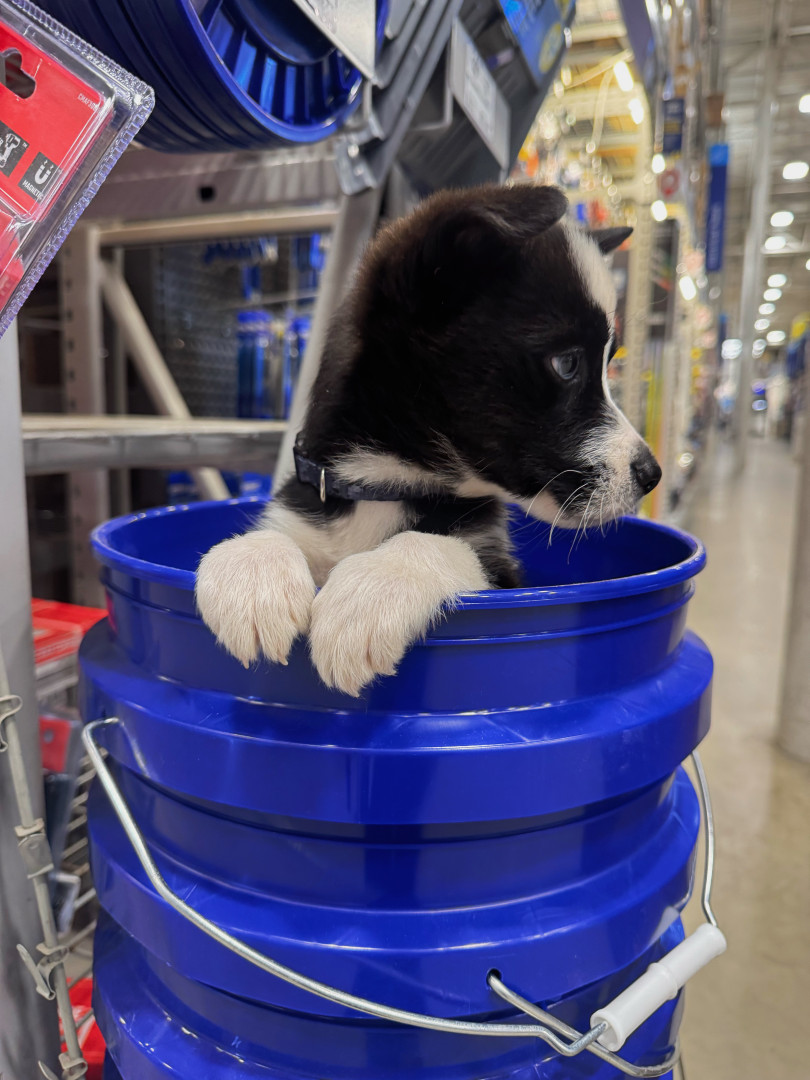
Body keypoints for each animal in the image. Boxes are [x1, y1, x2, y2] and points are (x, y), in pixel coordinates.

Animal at [196, 184, 661, 696]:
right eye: (568, 364)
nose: (651, 474)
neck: (383, 489)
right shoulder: (307, 503)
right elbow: (272, 534)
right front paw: (253, 574)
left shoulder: (502, 572)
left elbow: (430, 541)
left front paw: (369, 592)